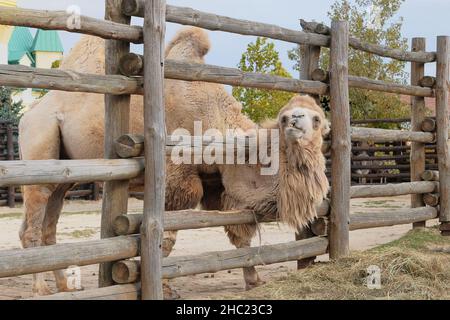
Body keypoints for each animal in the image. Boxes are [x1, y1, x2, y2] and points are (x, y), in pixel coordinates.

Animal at [18, 26, 326, 296]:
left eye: (317, 117)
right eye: (286, 117)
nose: (299, 123)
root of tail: (28, 114)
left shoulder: (218, 183)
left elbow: (240, 234)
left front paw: (254, 281)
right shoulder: (178, 180)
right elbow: (166, 238)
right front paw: (164, 288)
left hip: (65, 174)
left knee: (48, 223)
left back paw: (64, 286)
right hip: (40, 142)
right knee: (33, 224)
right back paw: (41, 289)